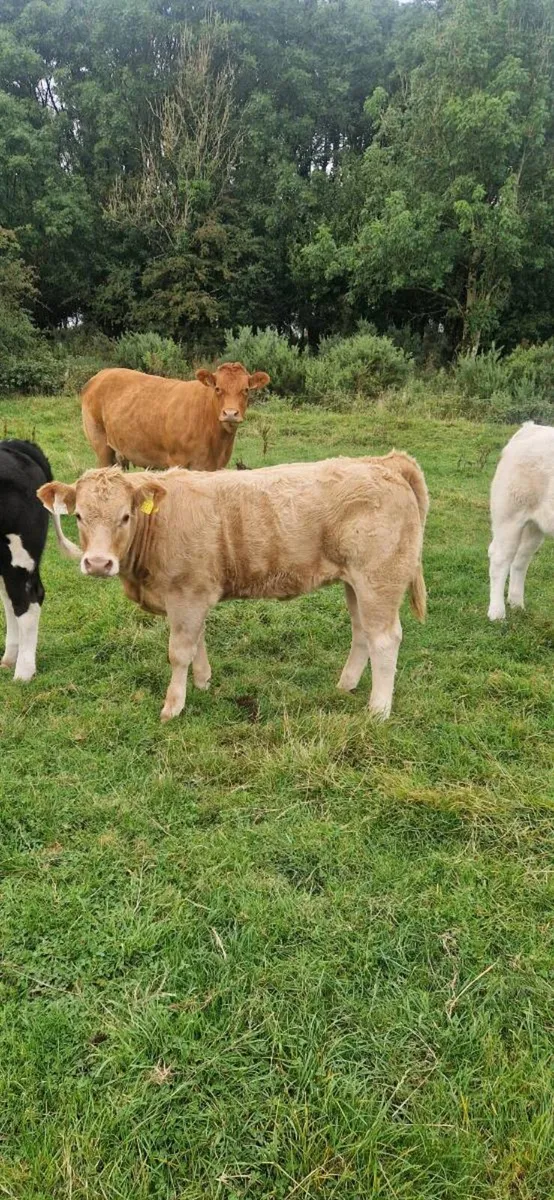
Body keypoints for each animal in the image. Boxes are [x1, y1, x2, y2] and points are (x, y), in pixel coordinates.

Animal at [0, 440, 79, 681]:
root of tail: (17, 446)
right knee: (10, 598)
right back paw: (9, 659)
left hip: (19, 553)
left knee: (28, 600)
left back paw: (23, 673)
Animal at [38, 452, 428, 722]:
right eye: (79, 516)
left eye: (125, 516)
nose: (98, 563)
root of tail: (382, 462)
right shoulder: (193, 596)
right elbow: (197, 641)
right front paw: (203, 682)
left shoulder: (186, 594)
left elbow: (179, 651)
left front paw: (173, 706)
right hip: (355, 583)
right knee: (362, 632)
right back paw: (346, 685)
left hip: (379, 579)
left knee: (385, 639)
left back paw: (378, 710)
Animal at [81, 362, 271, 471]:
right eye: (218, 388)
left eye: (246, 390)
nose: (230, 414)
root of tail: (101, 374)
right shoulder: (177, 461)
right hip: (101, 445)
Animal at [488, 422, 554, 620]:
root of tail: (531, 427)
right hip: (509, 514)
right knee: (500, 558)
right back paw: (497, 612)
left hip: (535, 525)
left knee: (521, 560)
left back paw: (516, 603)